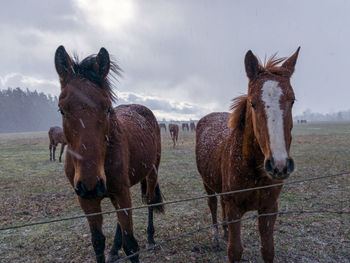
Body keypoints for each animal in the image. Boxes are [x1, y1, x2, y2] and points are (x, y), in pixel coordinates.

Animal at [54, 46, 164, 263]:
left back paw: (150, 238)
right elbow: (98, 242)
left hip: (151, 172)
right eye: (61, 110)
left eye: (107, 108)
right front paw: (110, 248)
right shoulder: (87, 200)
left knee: (149, 201)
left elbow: (131, 245)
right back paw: (114, 249)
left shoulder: (121, 192)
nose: (91, 184)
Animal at [196, 48, 300, 263]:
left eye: (293, 101)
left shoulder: (269, 208)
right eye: (253, 103)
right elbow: (234, 251)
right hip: (208, 184)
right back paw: (217, 238)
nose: (279, 165)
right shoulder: (234, 208)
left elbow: (268, 250)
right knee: (212, 206)